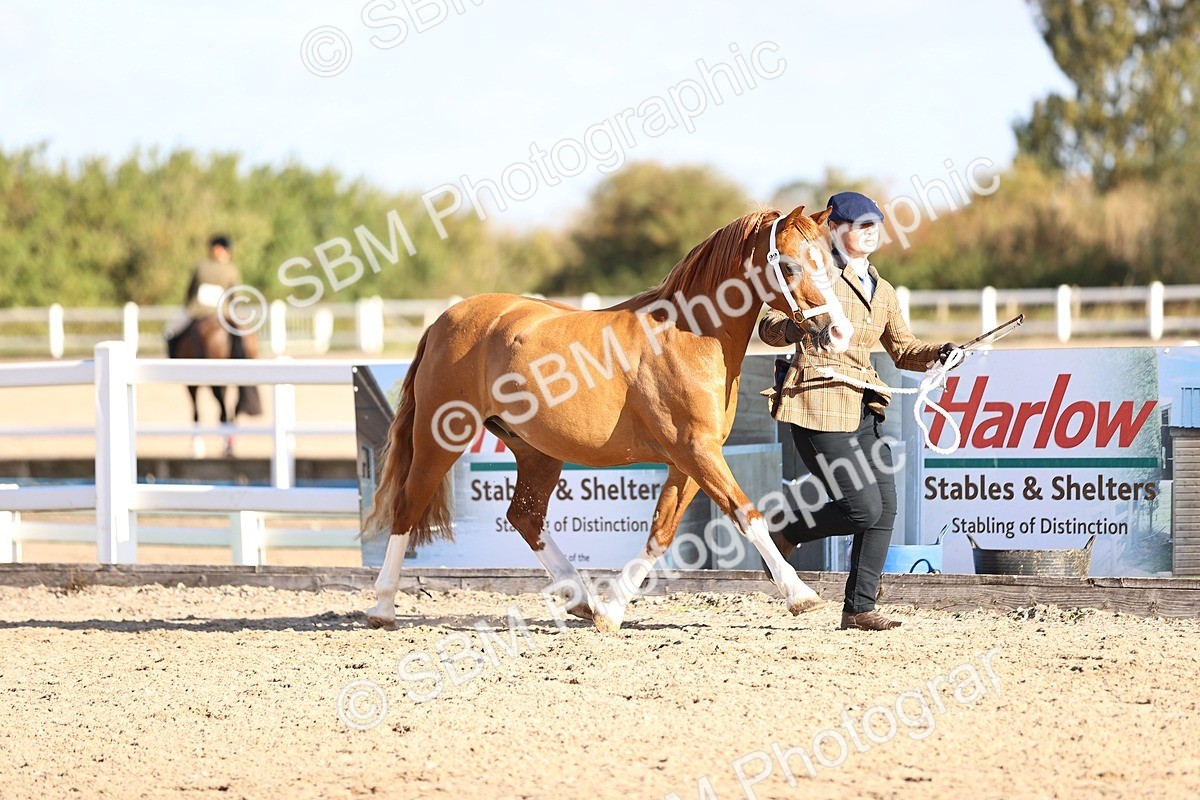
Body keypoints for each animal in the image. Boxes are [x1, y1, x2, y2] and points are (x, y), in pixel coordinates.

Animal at [167, 315, 263, 457]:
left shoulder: (191, 385)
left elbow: (196, 413)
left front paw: (197, 447)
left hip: (214, 384)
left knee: (223, 411)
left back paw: (226, 446)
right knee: (234, 407)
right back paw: (230, 444)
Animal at [363, 204, 854, 632]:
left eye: (830, 263)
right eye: (789, 265)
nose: (837, 332)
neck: (688, 337)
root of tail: (441, 322)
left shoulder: (690, 461)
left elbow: (660, 533)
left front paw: (612, 610)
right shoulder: (697, 452)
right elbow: (747, 514)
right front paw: (800, 594)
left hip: (537, 451)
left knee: (524, 516)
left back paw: (581, 600)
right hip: (440, 438)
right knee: (407, 506)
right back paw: (382, 607)